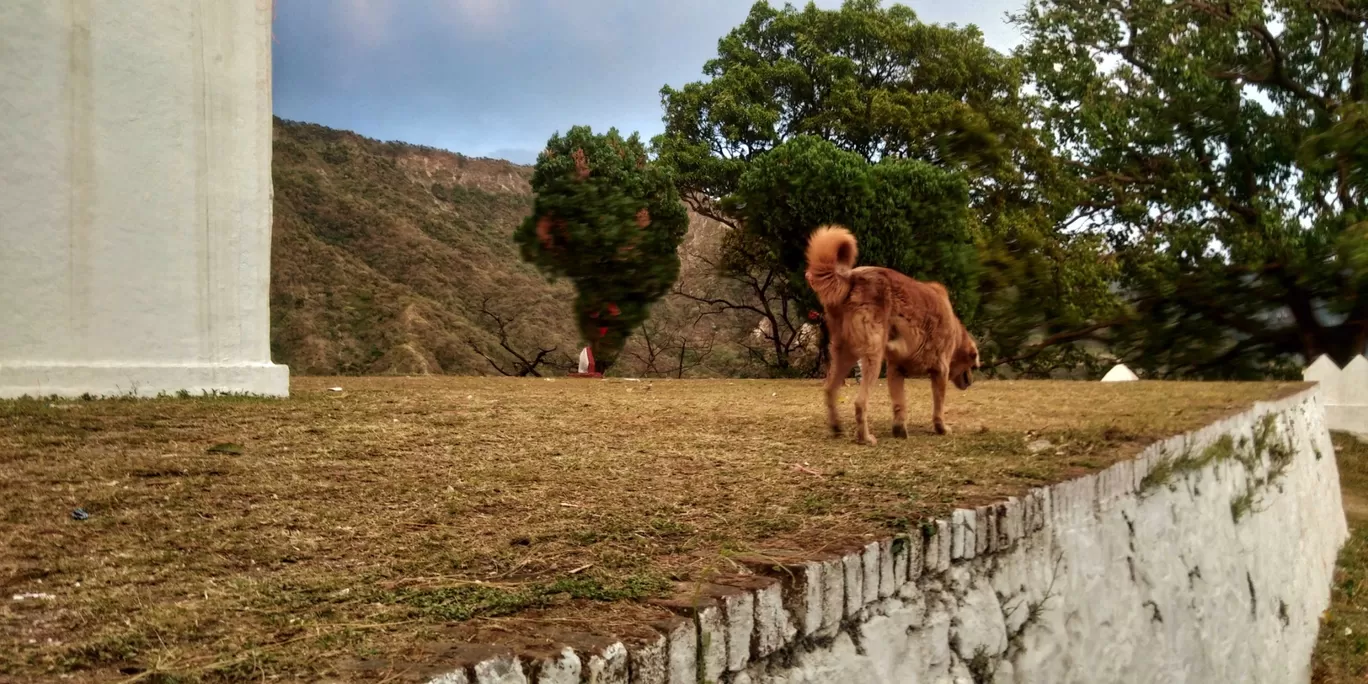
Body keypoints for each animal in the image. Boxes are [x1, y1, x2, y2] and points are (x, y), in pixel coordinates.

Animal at [798, 227, 984, 445]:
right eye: (973, 366)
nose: (971, 381)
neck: (955, 332)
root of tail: (851, 277)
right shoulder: (940, 371)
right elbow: (938, 406)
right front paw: (941, 428)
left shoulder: (896, 370)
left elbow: (899, 404)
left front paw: (899, 430)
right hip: (873, 355)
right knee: (860, 402)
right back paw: (865, 438)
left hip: (845, 353)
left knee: (829, 390)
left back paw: (836, 428)